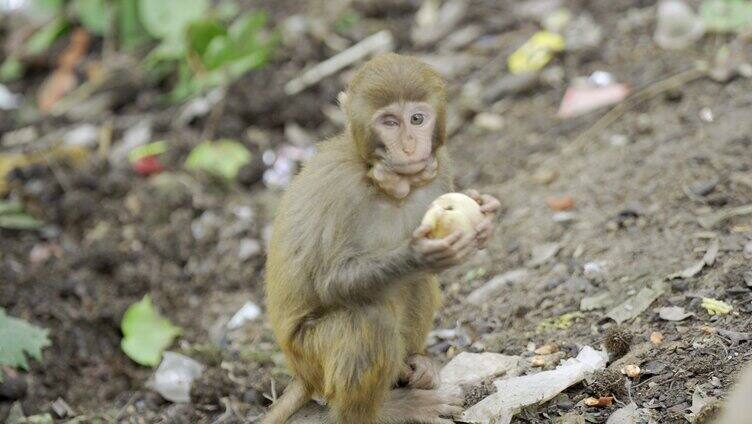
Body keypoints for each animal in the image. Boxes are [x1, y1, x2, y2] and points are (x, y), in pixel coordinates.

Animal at [262, 53, 502, 424]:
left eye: (417, 119)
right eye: (389, 122)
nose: (409, 145)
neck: (380, 179)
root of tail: (299, 373)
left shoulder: (441, 166)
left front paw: (485, 215)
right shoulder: (342, 191)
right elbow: (331, 282)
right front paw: (418, 255)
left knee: (416, 283)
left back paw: (415, 363)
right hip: (310, 355)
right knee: (365, 320)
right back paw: (387, 410)